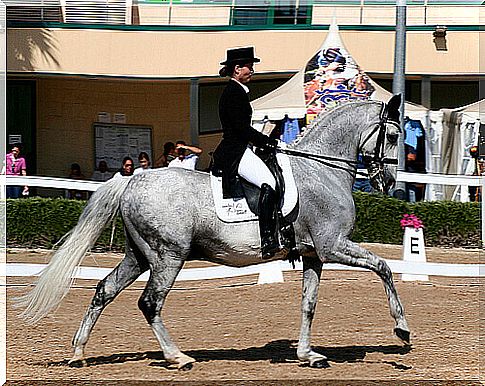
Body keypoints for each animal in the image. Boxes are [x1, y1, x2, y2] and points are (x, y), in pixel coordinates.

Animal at [18, 95, 408, 370]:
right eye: (392, 135)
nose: (389, 183)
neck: (321, 171)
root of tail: (132, 180)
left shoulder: (314, 254)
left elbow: (308, 304)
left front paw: (308, 354)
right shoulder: (333, 246)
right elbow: (384, 268)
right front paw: (402, 330)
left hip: (139, 255)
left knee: (104, 290)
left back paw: (78, 352)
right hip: (168, 257)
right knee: (150, 302)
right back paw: (178, 357)